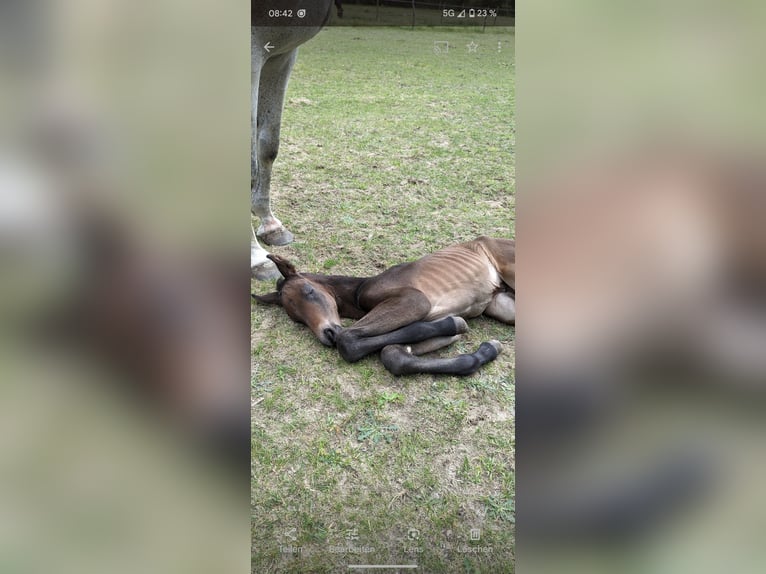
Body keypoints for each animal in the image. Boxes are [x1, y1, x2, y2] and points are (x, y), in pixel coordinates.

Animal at [254, 235, 516, 378]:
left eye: (309, 291)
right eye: (296, 318)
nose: (327, 334)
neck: (359, 290)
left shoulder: (415, 300)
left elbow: (348, 340)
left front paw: (455, 324)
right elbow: (393, 355)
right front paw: (483, 349)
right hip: (502, 305)